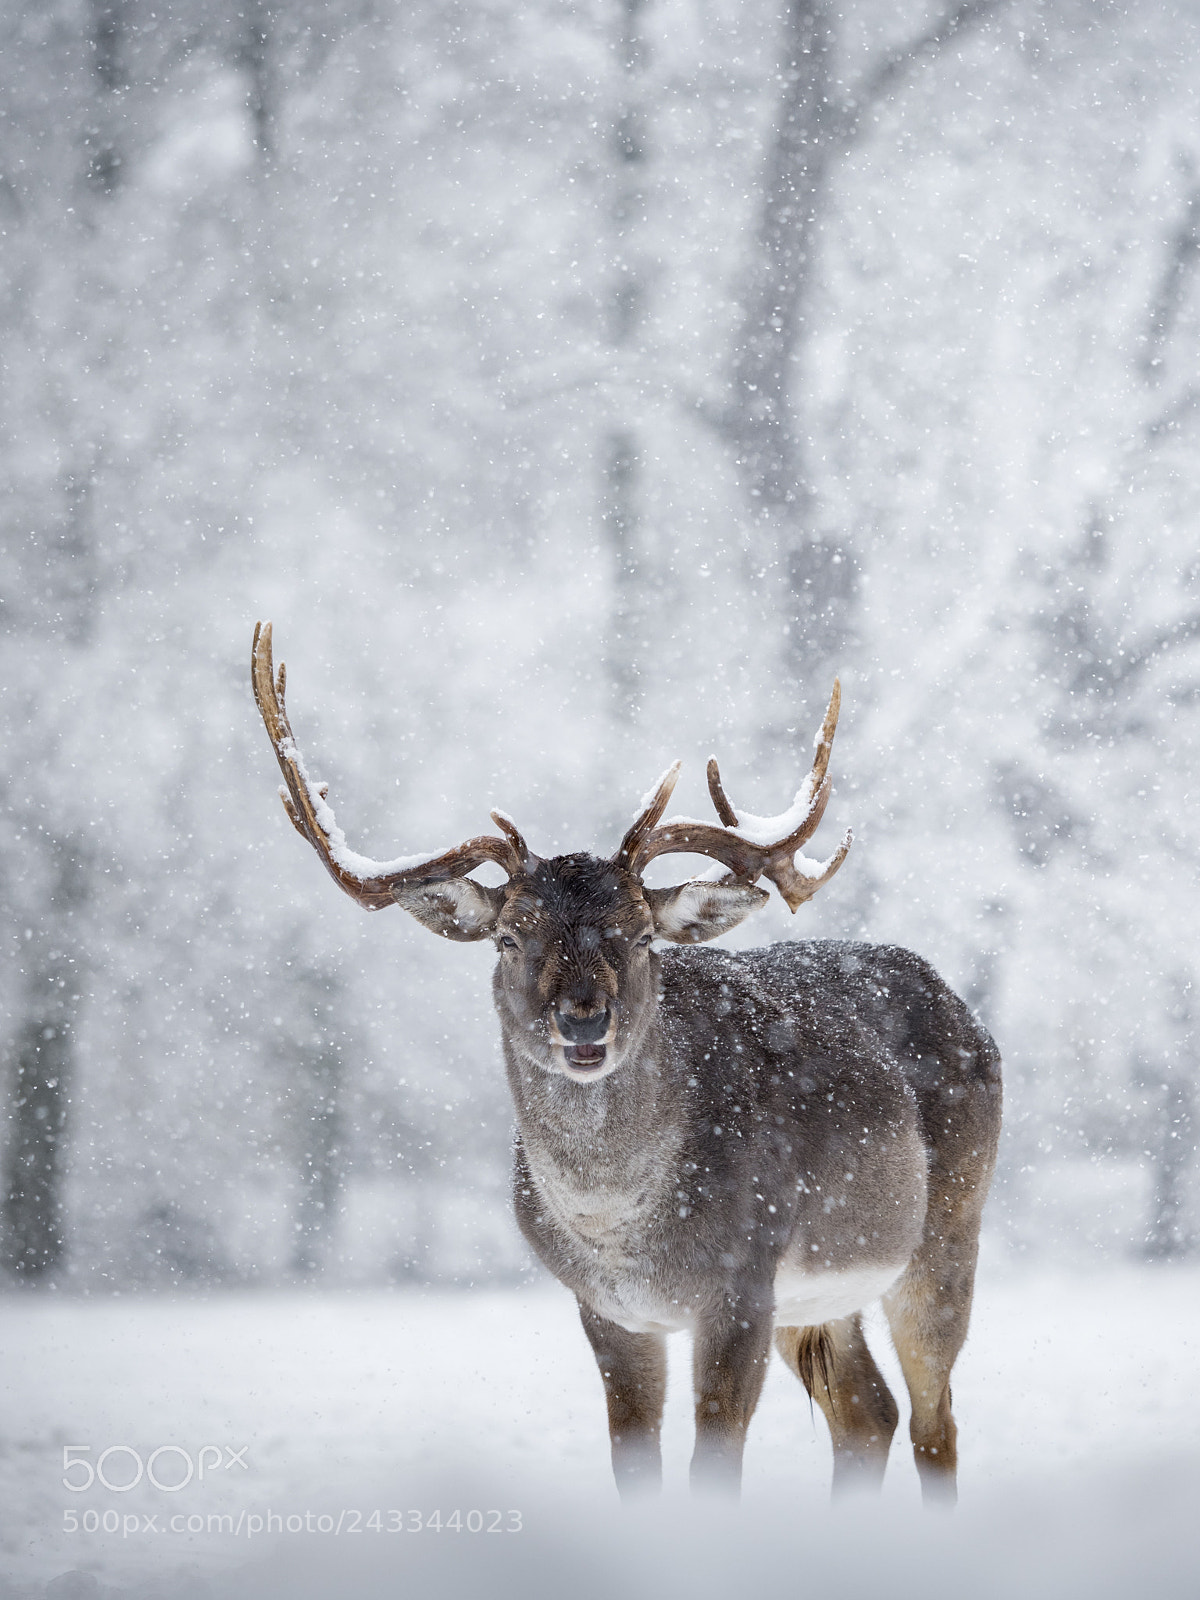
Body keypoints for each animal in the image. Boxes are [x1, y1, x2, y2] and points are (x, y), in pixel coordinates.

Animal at [251, 622, 1001, 1504]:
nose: (585, 1021)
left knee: (934, 1421)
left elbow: (714, 1466)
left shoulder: (740, 1280)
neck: (619, 1230)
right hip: (819, 1296)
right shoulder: (606, 1309)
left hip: (947, 1232)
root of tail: (967, 1010)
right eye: (509, 937)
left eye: (641, 934)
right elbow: (632, 1463)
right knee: (868, 1411)